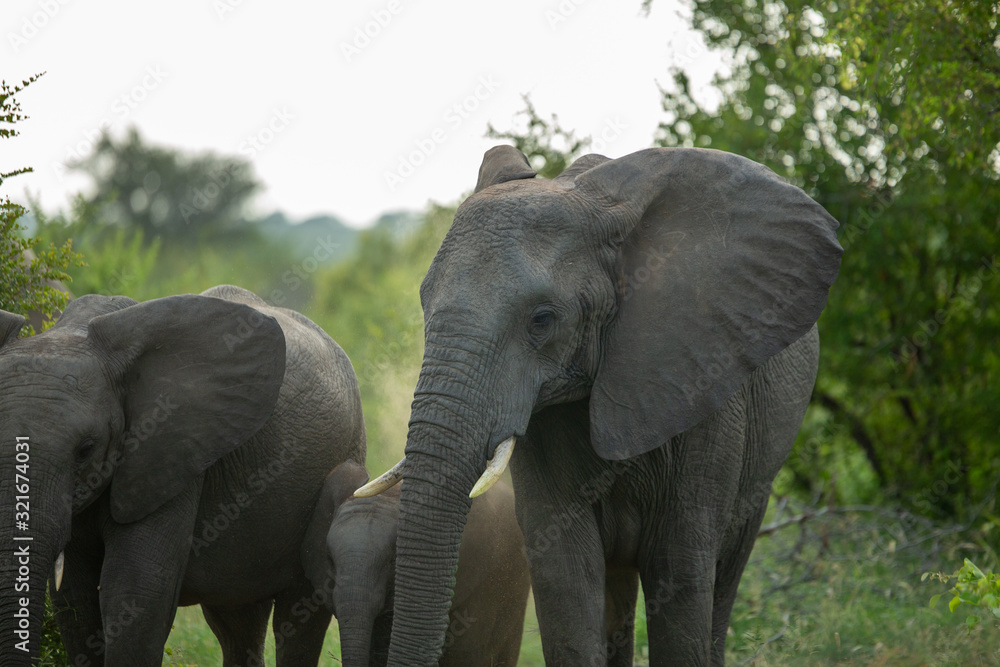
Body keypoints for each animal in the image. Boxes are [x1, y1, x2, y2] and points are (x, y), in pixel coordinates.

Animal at [0, 284, 367, 666]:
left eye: (86, 448)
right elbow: (75, 600)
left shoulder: (171, 454)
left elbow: (135, 593)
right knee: (237, 621)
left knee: (297, 618)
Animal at [356, 146, 843, 665]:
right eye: (424, 305)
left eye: (542, 320)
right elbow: (565, 573)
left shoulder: (706, 384)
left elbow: (681, 573)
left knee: (724, 573)